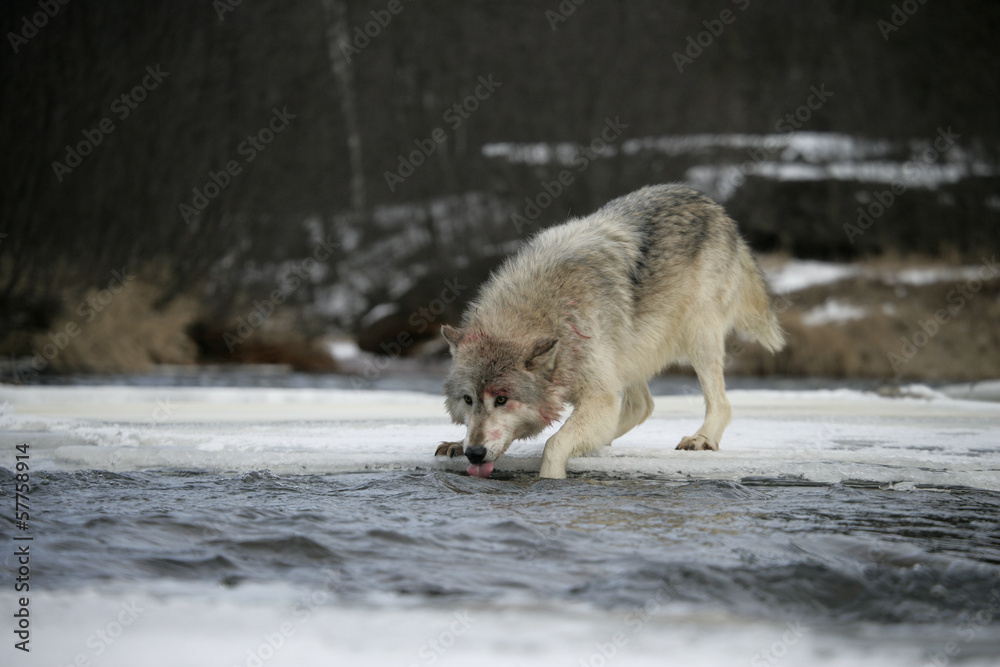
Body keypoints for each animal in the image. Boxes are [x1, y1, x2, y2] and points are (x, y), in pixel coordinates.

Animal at [435, 183, 785, 479]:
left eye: (502, 399)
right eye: (468, 399)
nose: (475, 452)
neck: (543, 309)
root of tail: (712, 204)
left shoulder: (598, 395)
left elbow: (554, 444)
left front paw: (551, 478)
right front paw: (457, 443)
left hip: (698, 336)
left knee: (719, 403)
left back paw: (702, 438)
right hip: (630, 351)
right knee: (641, 406)